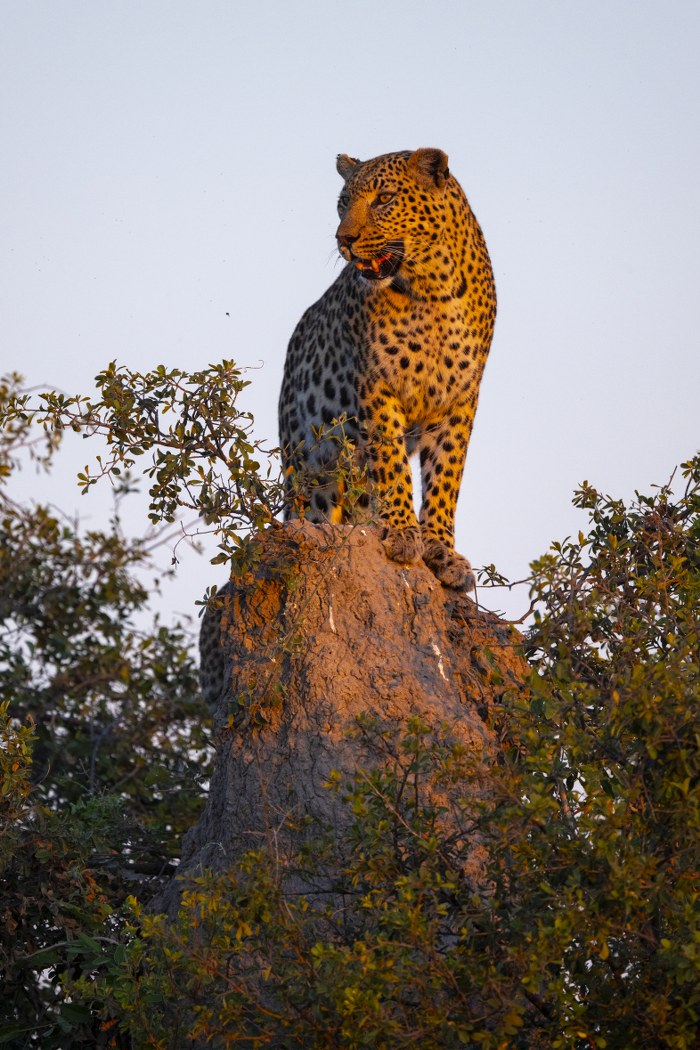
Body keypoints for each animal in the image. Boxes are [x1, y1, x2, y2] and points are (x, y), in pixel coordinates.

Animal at [278, 147, 496, 592]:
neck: (432, 288)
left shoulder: (461, 399)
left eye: (383, 199)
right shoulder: (377, 384)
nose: (344, 240)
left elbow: (446, 475)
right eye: (344, 202)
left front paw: (441, 550)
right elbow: (394, 466)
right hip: (308, 467)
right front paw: (402, 533)